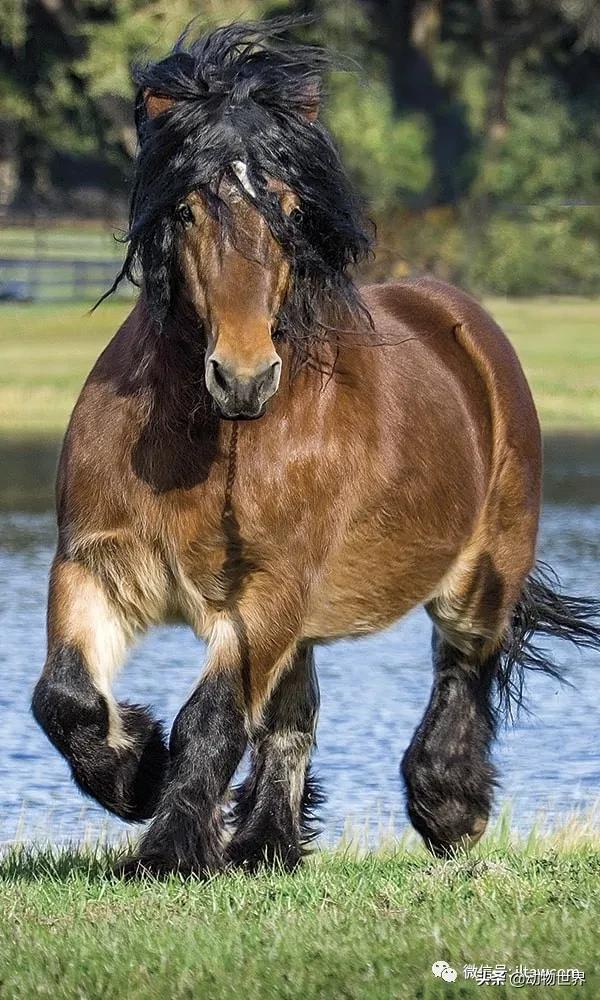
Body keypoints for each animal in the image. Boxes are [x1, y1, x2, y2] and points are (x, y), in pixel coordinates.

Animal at [31, 17, 600, 876]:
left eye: (289, 208)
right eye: (189, 209)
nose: (243, 376)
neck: (200, 441)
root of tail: (462, 321)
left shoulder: (269, 593)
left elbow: (210, 722)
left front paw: (166, 848)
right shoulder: (94, 562)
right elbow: (63, 698)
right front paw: (137, 775)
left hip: (479, 571)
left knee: (463, 664)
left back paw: (448, 807)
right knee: (295, 717)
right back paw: (265, 841)